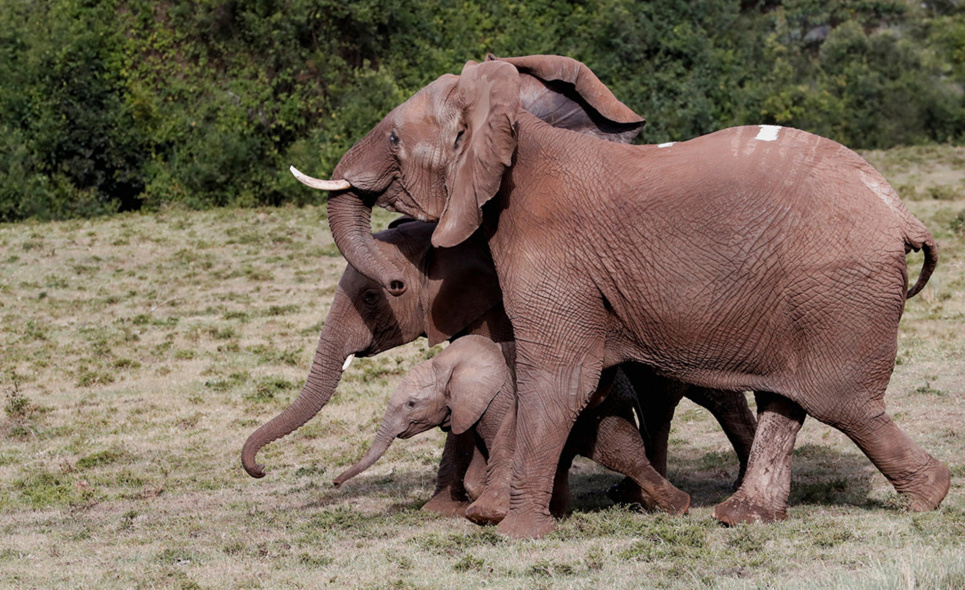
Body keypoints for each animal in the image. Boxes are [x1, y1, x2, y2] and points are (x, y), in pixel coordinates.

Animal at [336, 336, 688, 524]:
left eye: (411, 404)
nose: (335, 483)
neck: (449, 361)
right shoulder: (472, 412)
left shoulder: (497, 400)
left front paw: (486, 513)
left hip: (605, 411)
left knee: (623, 454)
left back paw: (678, 507)